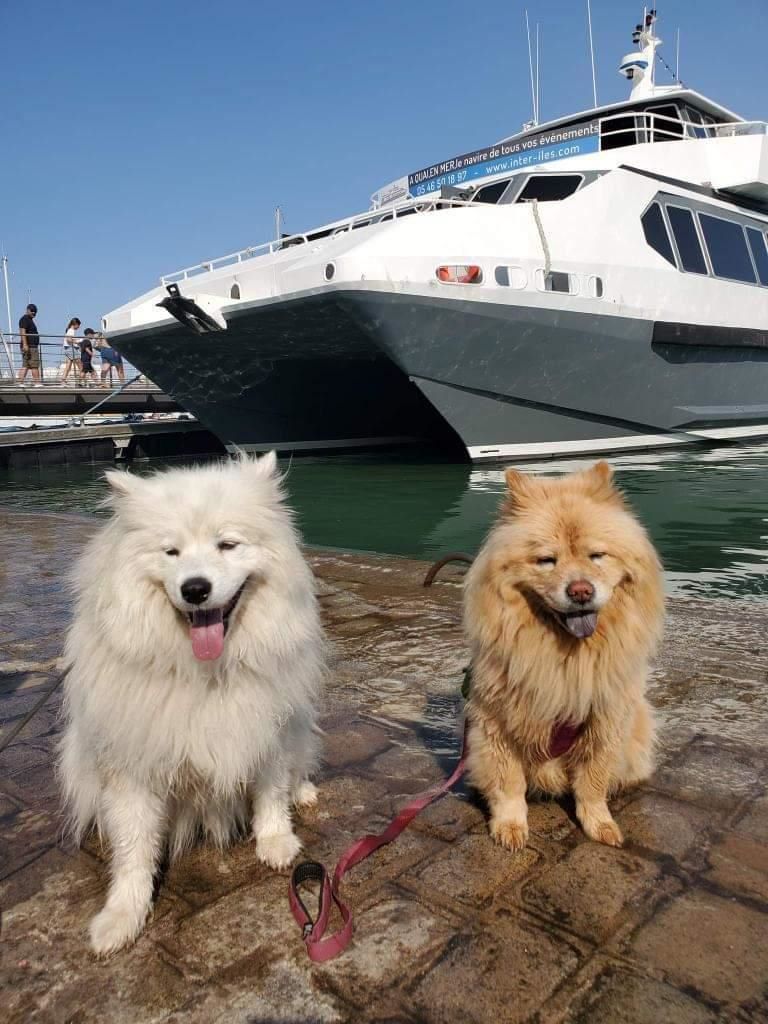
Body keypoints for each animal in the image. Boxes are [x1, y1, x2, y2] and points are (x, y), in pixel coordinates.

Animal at [58, 452, 325, 954]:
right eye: (171, 552)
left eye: (227, 544)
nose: (195, 589)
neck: (206, 672)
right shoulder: (132, 764)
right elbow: (133, 849)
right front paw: (122, 916)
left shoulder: (269, 727)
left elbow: (270, 793)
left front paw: (277, 843)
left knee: (298, 767)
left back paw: (304, 791)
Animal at [466, 462, 663, 847]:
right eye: (546, 560)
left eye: (597, 556)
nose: (581, 591)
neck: (568, 657)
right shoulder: (497, 723)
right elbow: (508, 784)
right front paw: (510, 826)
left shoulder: (605, 721)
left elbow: (593, 783)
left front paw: (599, 824)